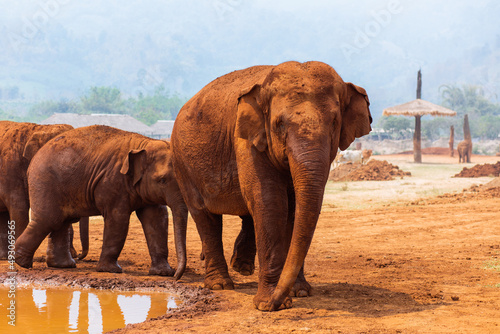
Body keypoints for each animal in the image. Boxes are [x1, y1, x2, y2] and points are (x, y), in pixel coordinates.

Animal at [15, 125, 188, 280]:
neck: (144, 143)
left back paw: (63, 265)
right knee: (48, 220)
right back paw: (22, 262)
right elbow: (118, 219)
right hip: (44, 181)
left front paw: (163, 273)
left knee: (62, 221)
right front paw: (111, 270)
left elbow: (157, 219)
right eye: (162, 180)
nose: (177, 277)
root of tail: (33, 160)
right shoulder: (112, 182)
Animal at [172, 60, 372, 310]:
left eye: (335, 122)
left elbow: (294, 208)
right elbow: (270, 203)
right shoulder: (246, 141)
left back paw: (241, 267)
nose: (274, 304)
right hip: (183, 163)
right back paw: (220, 285)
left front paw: (300, 293)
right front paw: (268, 303)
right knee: (204, 215)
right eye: (279, 124)